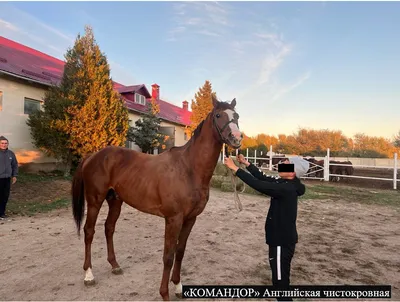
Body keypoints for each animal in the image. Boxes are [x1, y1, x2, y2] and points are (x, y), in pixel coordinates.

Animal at [70, 96, 242, 300]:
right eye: (218, 115)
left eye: (236, 116)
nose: (237, 138)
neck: (189, 168)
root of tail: (92, 156)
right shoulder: (173, 219)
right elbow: (168, 256)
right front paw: (165, 293)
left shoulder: (190, 219)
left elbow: (180, 252)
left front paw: (178, 286)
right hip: (95, 201)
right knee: (89, 231)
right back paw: (89, 275)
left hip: (115, 200)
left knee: (109, 228)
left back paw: (115, 265)